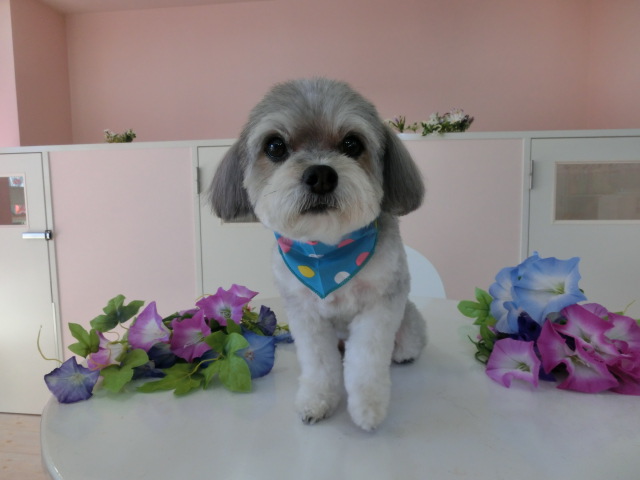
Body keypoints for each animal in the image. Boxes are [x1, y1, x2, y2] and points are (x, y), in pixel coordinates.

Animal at [209, 78, 427, 431]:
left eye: (352, 143)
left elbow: (366, 361)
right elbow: (319, 364)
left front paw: (367, 409)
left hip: (406, 321)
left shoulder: (381, 305)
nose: (321, 175)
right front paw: (317, 401)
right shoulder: (304, 313)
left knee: (405, 342)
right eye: (275, 146)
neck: (328, 251)